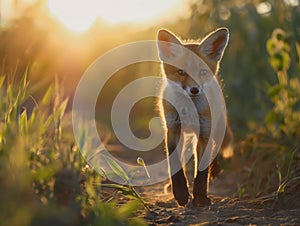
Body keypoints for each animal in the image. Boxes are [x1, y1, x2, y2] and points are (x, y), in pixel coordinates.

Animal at [156, 27, 233, 207]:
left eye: (202, 72)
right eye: (181, 72)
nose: (195, 90)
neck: (189, 112)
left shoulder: (205, 132)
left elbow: (202, 171)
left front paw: (200, 197)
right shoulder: (173, 130)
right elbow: (175, 165)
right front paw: (180, 192)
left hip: (215, 127)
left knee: (215, 149)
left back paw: (215, 169)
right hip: (185, 137)